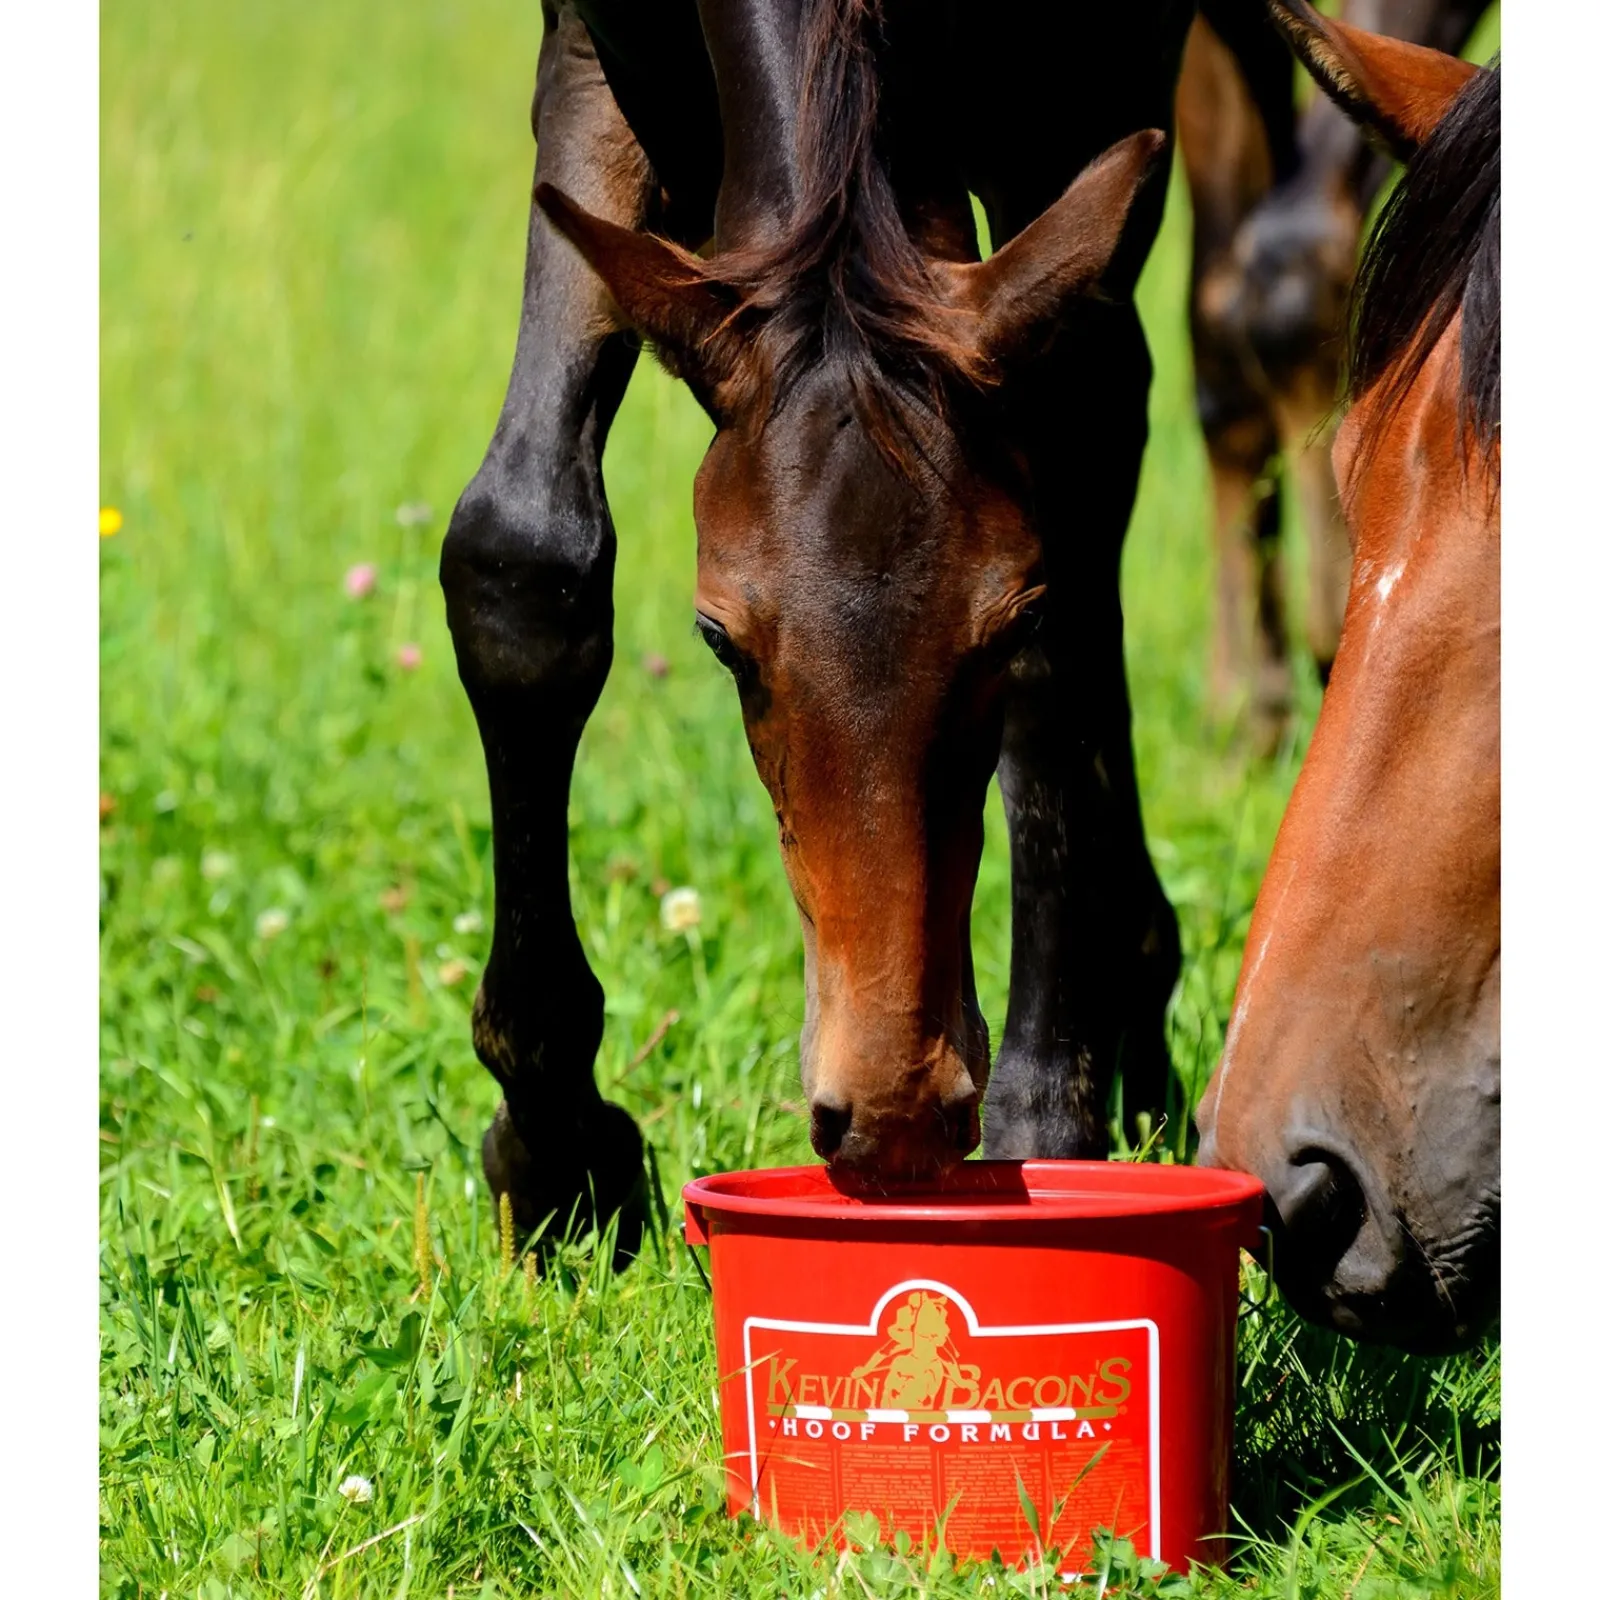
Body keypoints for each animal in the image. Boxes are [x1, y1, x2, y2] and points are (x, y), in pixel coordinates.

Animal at [440, 0, 1199, 1255]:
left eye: (1009, 621)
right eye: (718, 638)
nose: (891, 1114)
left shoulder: (1088, 90)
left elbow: (1067, 592)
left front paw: (1046, 1108)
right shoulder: (591, 56)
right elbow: (522, 554)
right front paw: (557, 1158)